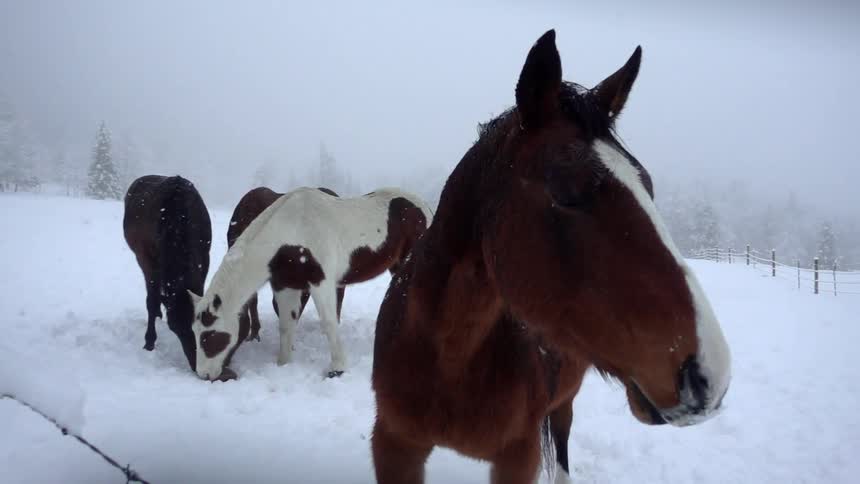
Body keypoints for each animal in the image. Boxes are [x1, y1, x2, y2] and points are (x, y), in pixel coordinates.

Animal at [123, 175, 212, 371]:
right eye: (174, 328)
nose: (196, 365)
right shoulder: (148, 261)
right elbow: (151, 299)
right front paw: (149, 342)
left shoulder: (204, 257)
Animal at [370, 30, 732, 484]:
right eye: (566, 191)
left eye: (647, 184)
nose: (708, 375)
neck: (449, 356)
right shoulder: (394, 446)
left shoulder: (516, 458)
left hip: (564, 404)